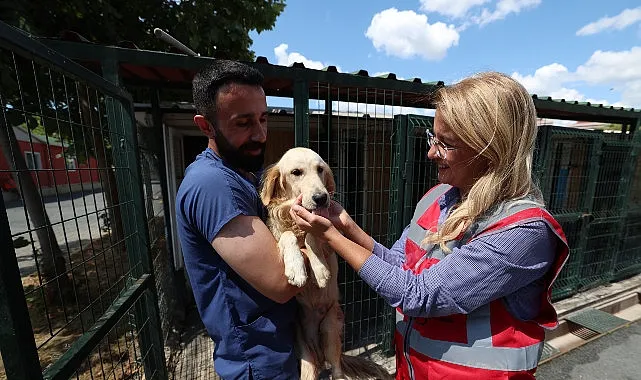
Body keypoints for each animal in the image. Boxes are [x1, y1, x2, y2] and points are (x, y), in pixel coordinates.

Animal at [258, 147, 390, 378]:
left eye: (320, 169)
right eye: (296, 172)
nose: (321, 198)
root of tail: (318, 351)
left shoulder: (328, 239)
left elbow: (314, 235)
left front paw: (319, 271)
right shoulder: (276, 237)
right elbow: (287, 237)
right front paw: (297, 269)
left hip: (330, 331)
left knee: (336, 368)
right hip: (306, 356)